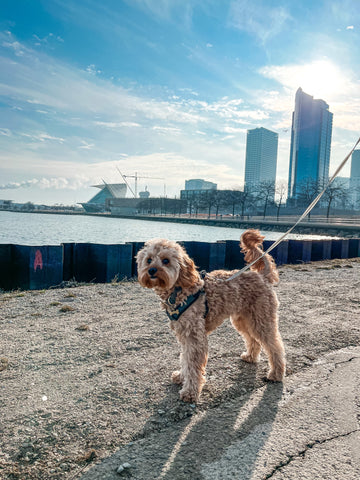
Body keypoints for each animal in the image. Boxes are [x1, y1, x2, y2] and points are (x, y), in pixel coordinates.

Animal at [136, 229, 286, 402]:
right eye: (149, 260)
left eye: (165, 260)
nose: (151, 270)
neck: (180, 290)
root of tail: (261, 276)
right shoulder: (184, 334)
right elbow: (185, 359)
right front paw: (181, 376)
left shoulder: (194, 335)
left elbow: (192, 363)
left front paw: (190, 392)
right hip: (243, 319)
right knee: (253, 340)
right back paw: (250, 356)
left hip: (262, 319)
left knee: (275, 345)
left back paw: (276, 374)